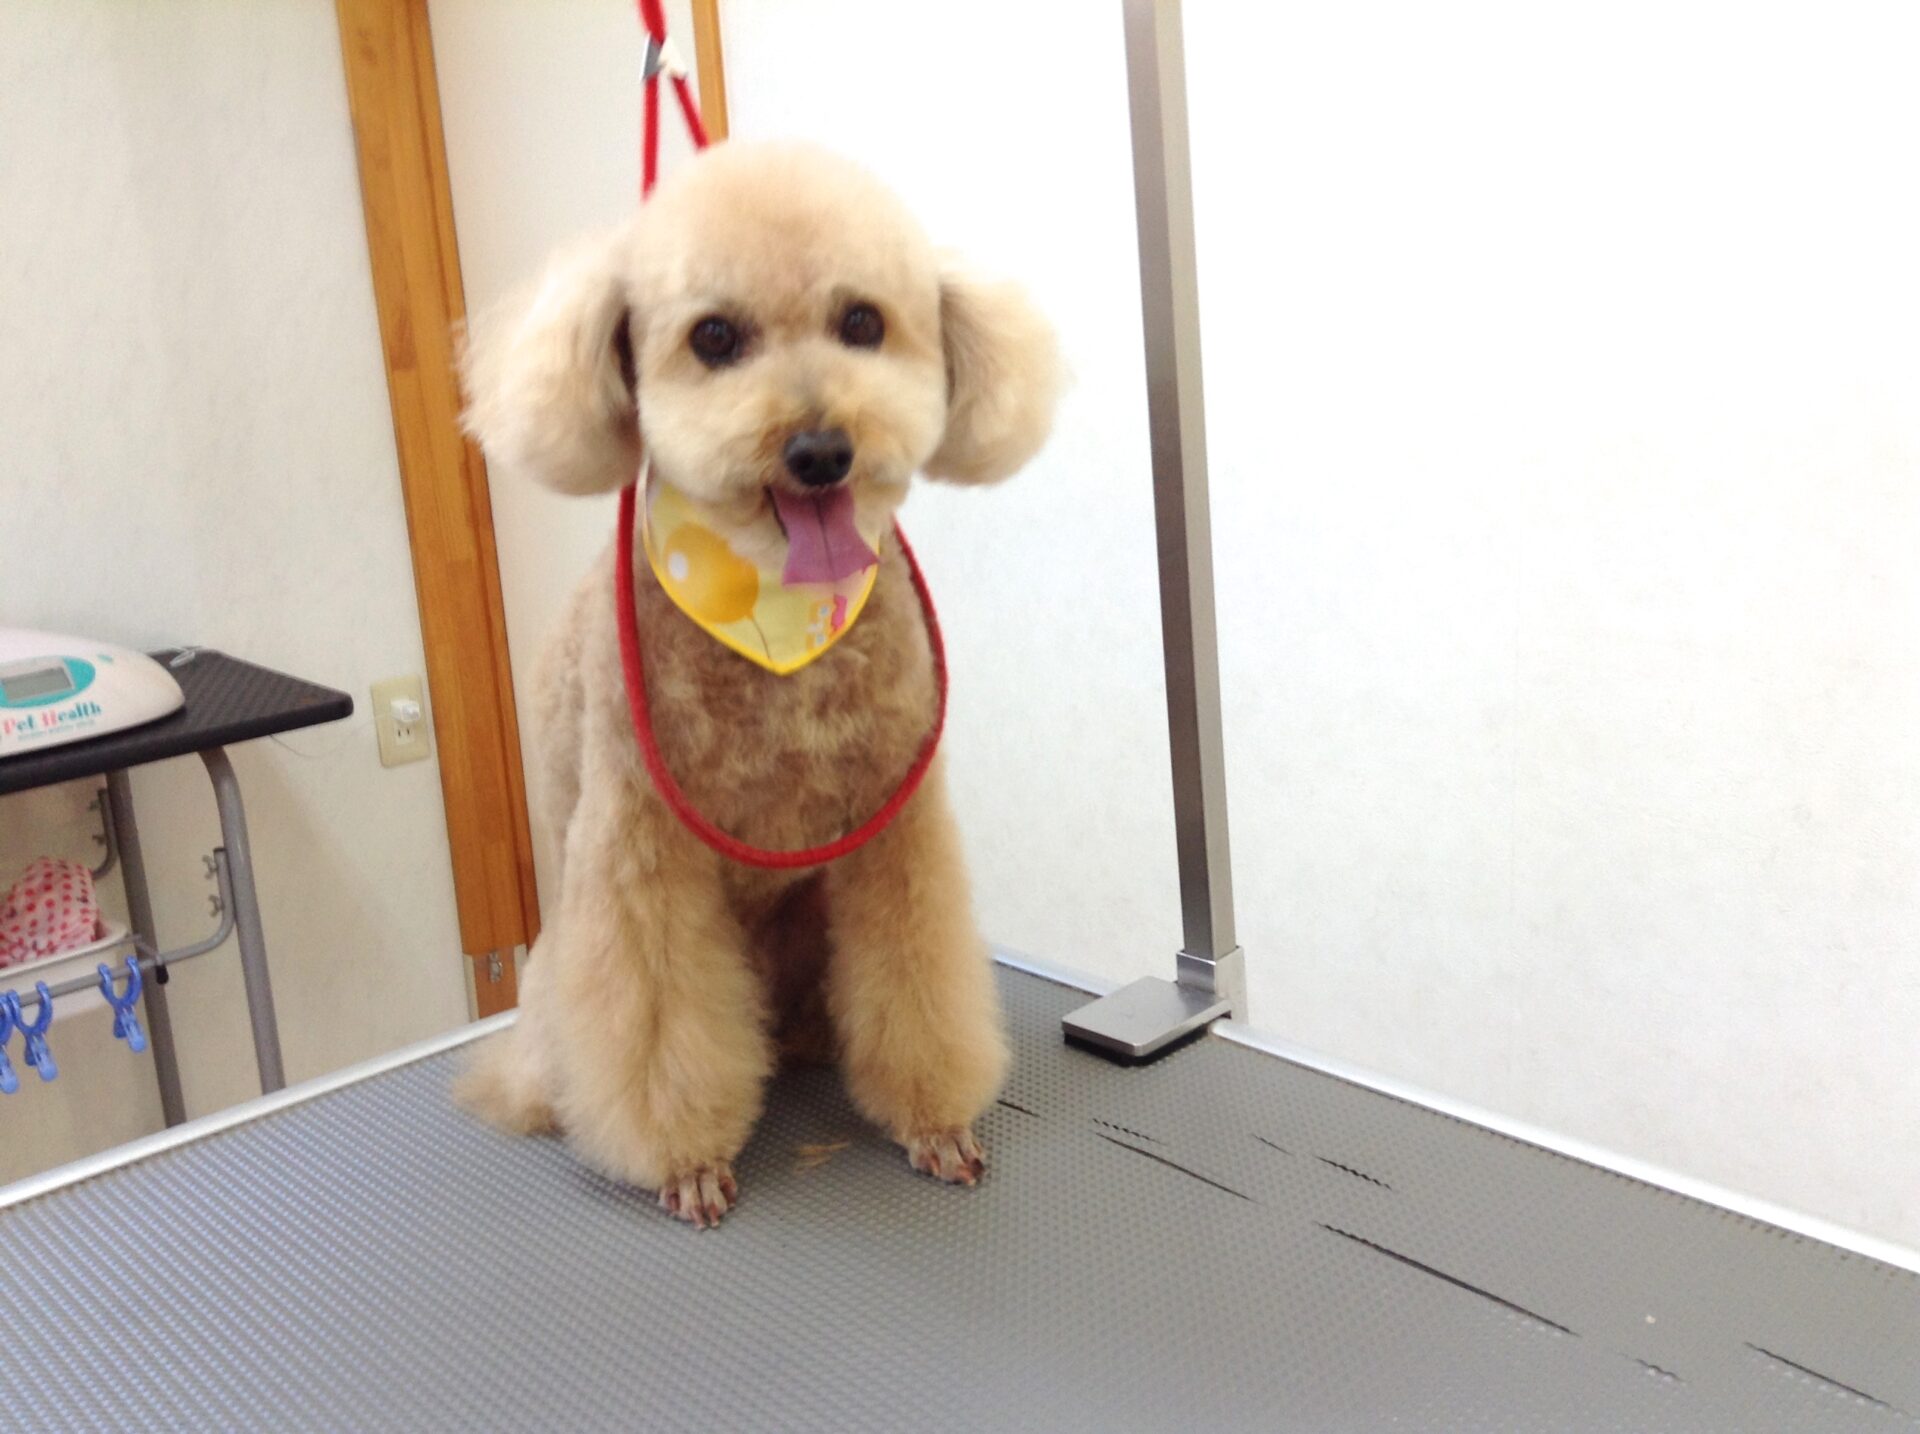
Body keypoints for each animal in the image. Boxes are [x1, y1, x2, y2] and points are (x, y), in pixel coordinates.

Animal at [455, 141, 1061, 1226]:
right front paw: (685, 1158)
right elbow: (657, 1023)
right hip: (560, 976)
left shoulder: (896, 829)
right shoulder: (640, 850)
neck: (778, 620)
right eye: (714, 337)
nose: (821, 449)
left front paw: (934, 1119)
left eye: (862, 322)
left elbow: (918, 977)